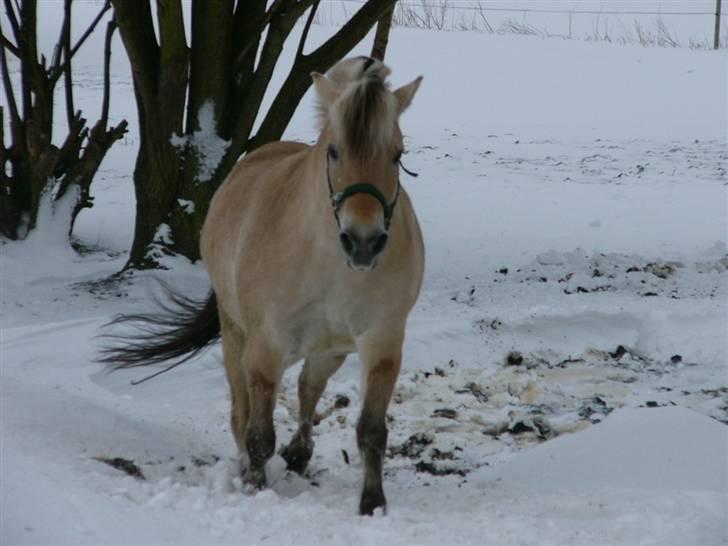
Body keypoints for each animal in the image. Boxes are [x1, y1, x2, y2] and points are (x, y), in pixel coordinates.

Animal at [101, 57, 420, 512]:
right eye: (334, 151)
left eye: (397, 154)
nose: (363, 242)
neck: (327, 261)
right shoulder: (265, 346)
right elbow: (257, 432)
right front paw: (254, 484)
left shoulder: (381, 342)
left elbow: (371, 430)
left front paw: (372, 502)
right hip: (238, 337)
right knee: (242, 408)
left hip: (329, 349)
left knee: (308, 388)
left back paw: (300, 453)